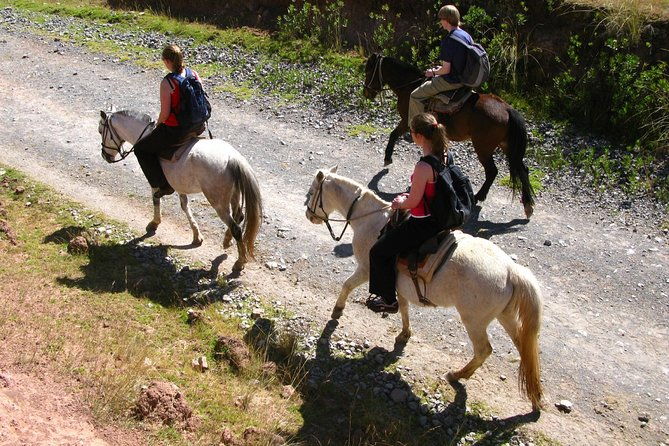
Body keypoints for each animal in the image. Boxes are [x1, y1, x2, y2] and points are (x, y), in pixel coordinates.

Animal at [98, 109, 262, 273]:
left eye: (100, 131)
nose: (105, 156)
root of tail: (232, 158)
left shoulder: (155, 180)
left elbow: (156, 198)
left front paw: (155, 222)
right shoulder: (179, 184)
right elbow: (184, 206)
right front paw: (196, 236)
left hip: (218, 202)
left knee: (236, 227)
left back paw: (240, 261)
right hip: (234, 194)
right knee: (238, 216)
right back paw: (227, 241)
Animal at [305, 167, 543, 410]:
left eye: (312, 192)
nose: (309, 215)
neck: (370, 220)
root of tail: (511, 270)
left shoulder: (366, 270)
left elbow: (347, 285)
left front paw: (337, 311)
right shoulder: (399, 284)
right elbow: (403, 307)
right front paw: (403, 334)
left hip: (474, 321)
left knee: (483, 350)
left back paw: (456, 375)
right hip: (505, 316)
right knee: (522, 345)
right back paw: (532, 393)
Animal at [363, 53, 535, 218]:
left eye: (368, 71)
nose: (366, 93)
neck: (409, 86)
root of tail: (507, 109)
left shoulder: (406, 121)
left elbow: (393, 135)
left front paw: (387, 158)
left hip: (483, 147)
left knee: (492, 171)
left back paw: (479, 196)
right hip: (507, 146)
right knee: (522, 170)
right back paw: (528, 205)